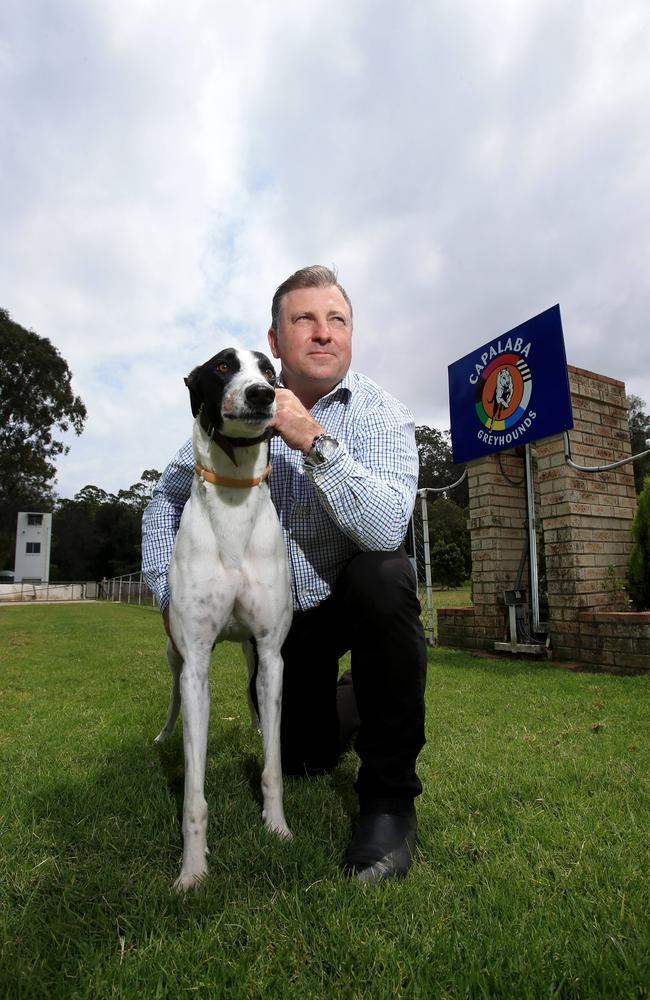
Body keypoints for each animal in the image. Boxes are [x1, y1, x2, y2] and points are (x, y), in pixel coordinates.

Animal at [154, 350, 292, 892]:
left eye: (270, 371)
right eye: (220, 368)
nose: (262, 394)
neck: (234, 494)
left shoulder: (272, 655)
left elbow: (273, 765)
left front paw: (277, 827)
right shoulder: (196, 664)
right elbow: (194, 793)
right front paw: (193, 871)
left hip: (252, 654)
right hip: (175, 657)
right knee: (174, 700)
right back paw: (163, 736)